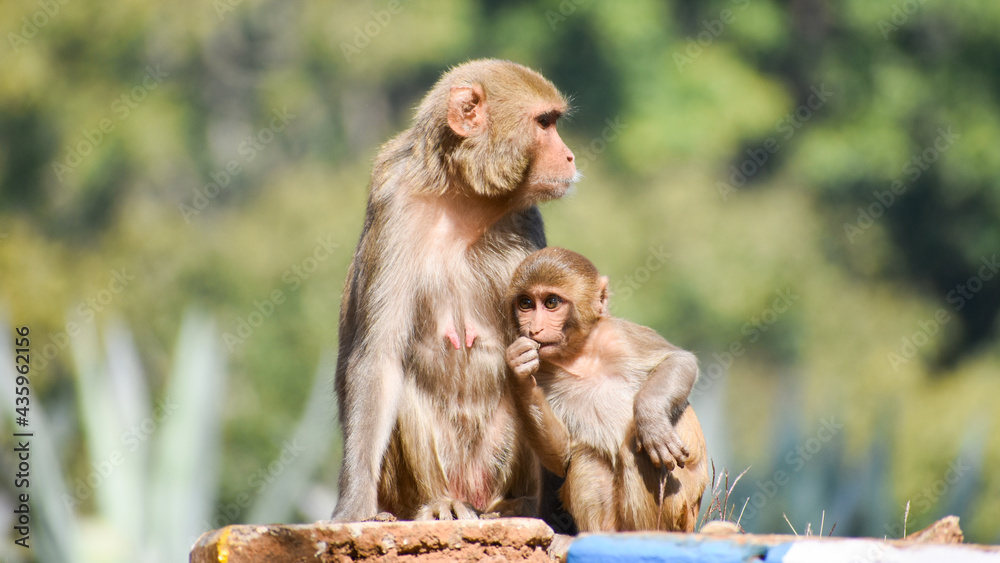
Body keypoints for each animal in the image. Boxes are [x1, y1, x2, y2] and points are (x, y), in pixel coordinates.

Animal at [332, 60, 578, 522]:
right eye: (544, 123)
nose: (570, 156)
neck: (464, 197)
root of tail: (474, 494)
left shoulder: (527, 222)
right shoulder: (395, 206)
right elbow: (379, 357)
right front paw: (354, 505)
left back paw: (522, 503)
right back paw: (438, 501)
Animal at [504, 247, 709, 532]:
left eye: (551, 303)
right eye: (526, 304)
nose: (533, 329)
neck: (579, 353)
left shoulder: (619, 336)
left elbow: (679, 360)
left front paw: (651, 421)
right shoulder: (543, 369)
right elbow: (563, 455)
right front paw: (518, 371)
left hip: (680, 509)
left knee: (634, 444)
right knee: (587, 455)